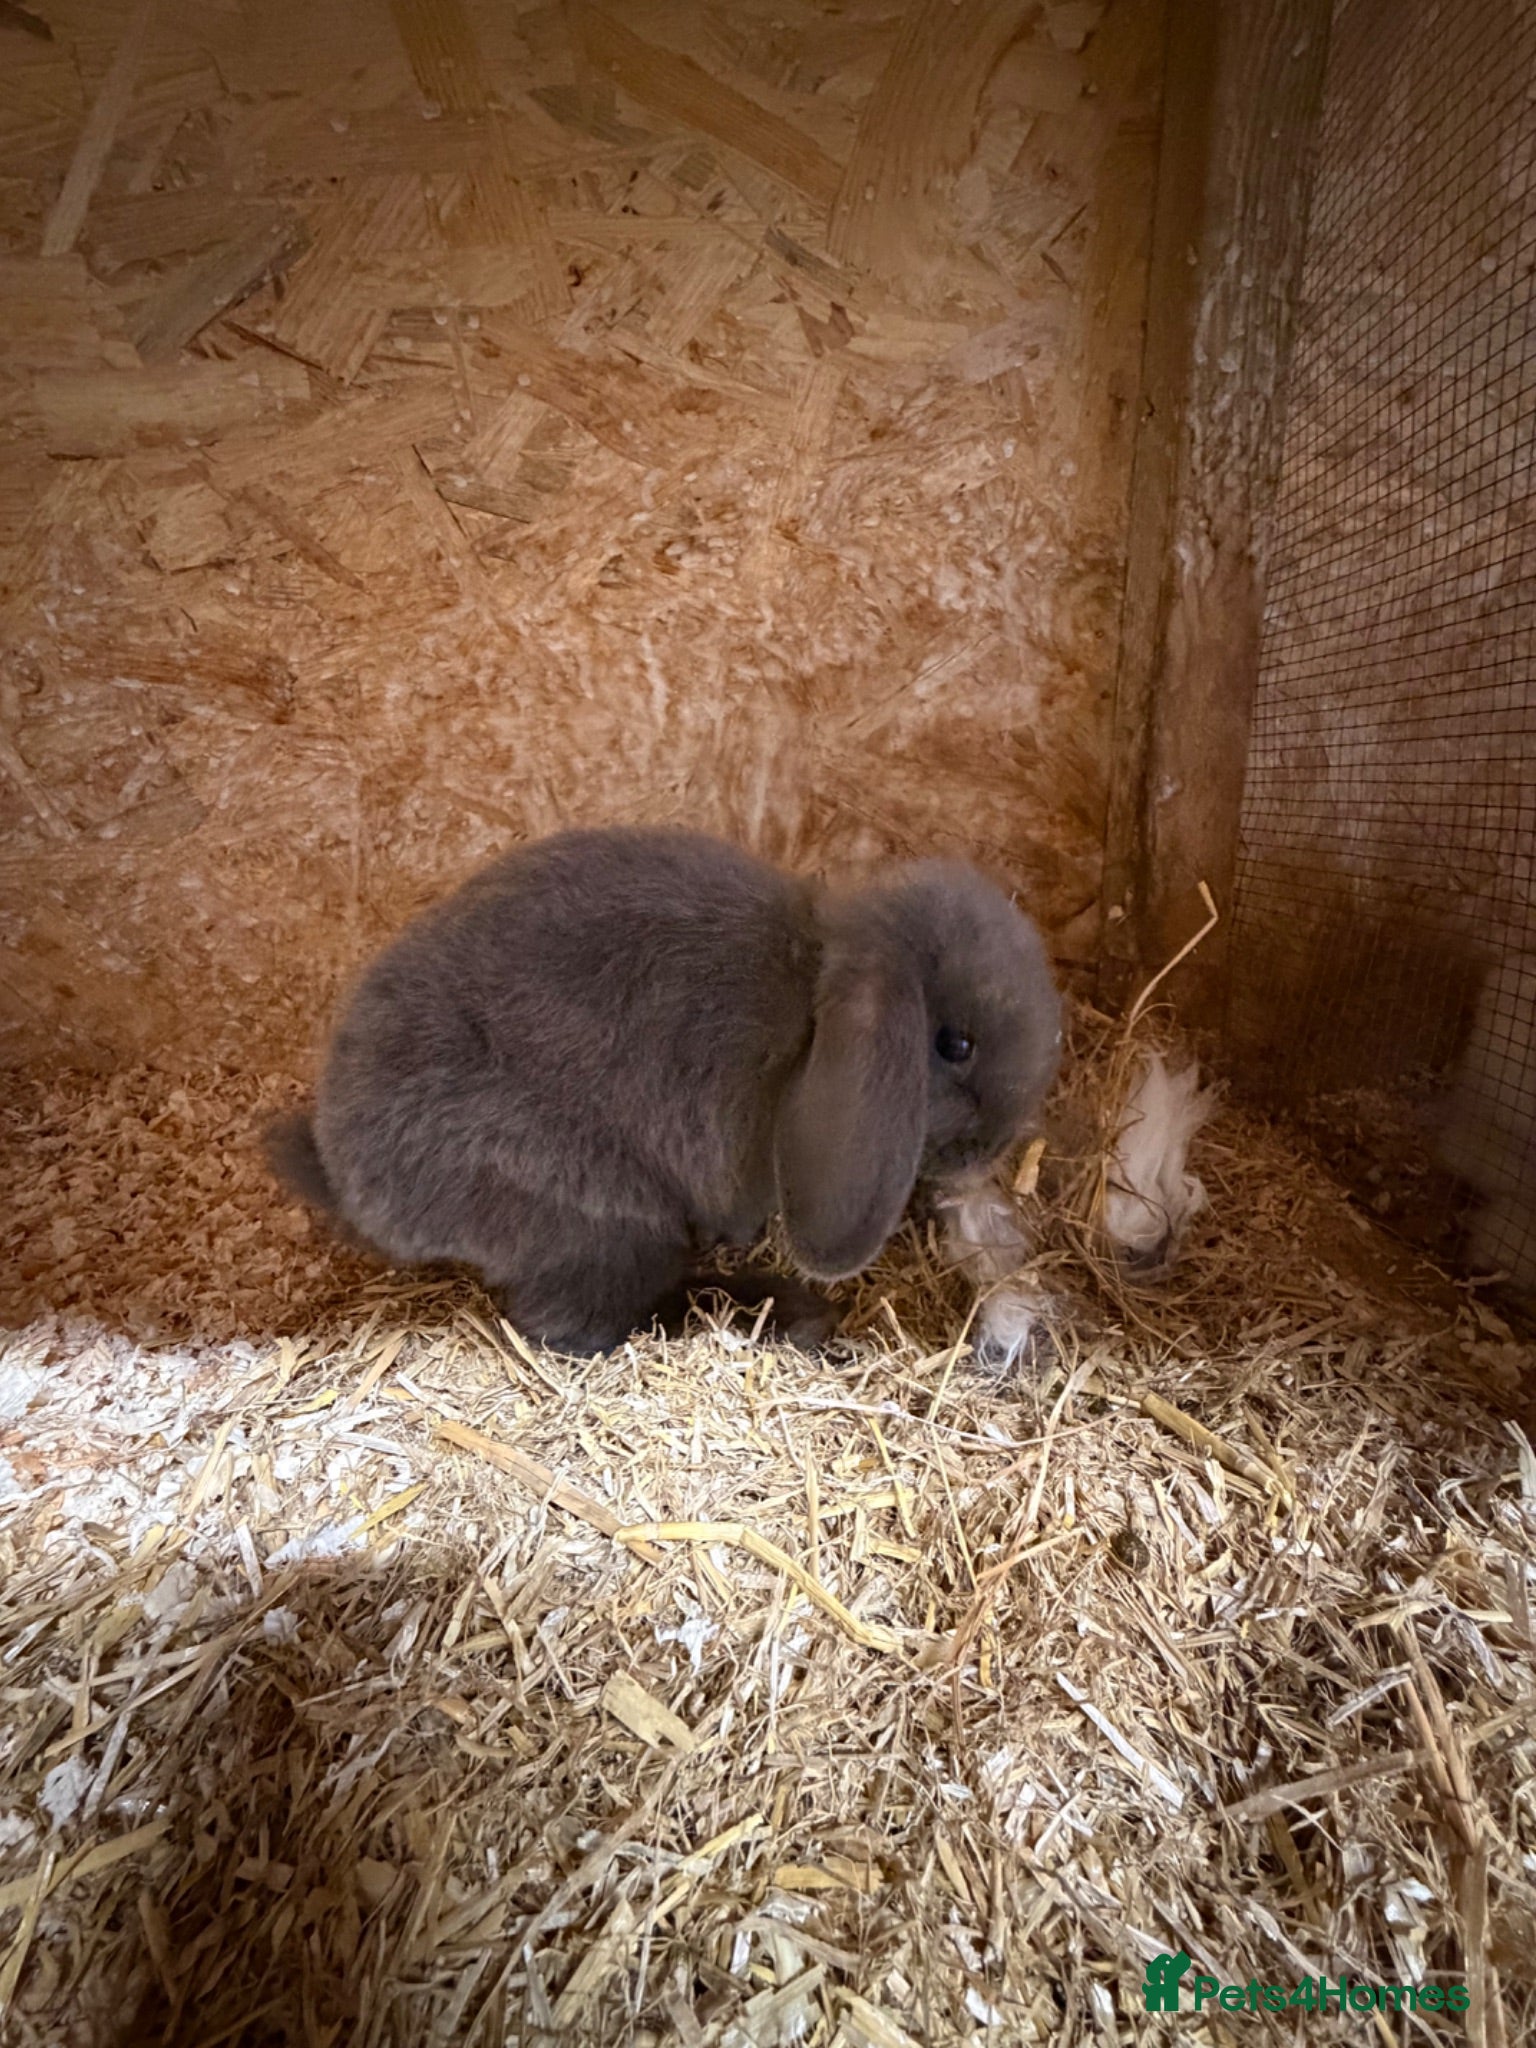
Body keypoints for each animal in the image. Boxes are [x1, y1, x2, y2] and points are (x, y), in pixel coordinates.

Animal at [266, 825, 1062, 1356]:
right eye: (953, 1044)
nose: (995, 1147)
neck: (814, 1006)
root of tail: (356, 1189)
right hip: (603, 1220)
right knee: (579, 1323)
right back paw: (783, 1310)